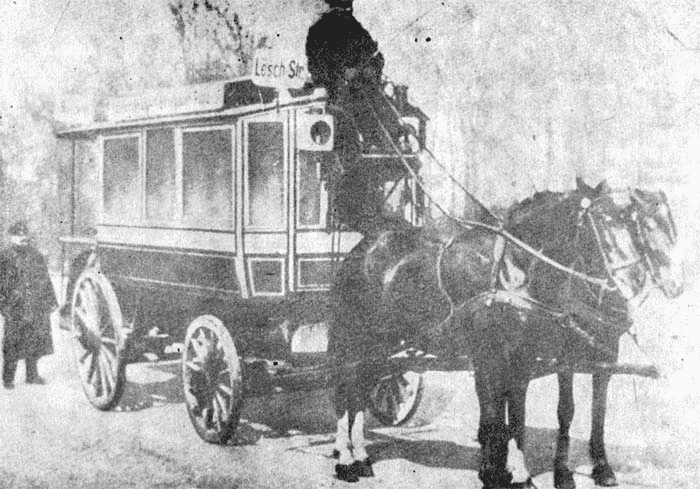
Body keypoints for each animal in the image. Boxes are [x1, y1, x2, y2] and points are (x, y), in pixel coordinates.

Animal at [328, 183, 648, 485]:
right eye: (600, 227)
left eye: (628, 223)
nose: (634, 281)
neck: (512, 272)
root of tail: (360, 250)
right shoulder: (490, 356)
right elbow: (494, 414)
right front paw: (494, 473)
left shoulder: (522, 357)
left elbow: (516, 415)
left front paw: (519, 474)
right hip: (353, 339)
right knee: (345, 391)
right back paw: (345, 461)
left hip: (383, 345)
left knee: (361, 390)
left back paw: (362, 457)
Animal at [550, 182, 684, 489]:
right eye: (647, 226)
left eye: (671, 227)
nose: (677, 284)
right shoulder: (564, 355)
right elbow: (566, 409)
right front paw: (562, 472)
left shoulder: (608, 351)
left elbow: (599, 407)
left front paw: (602, 464)